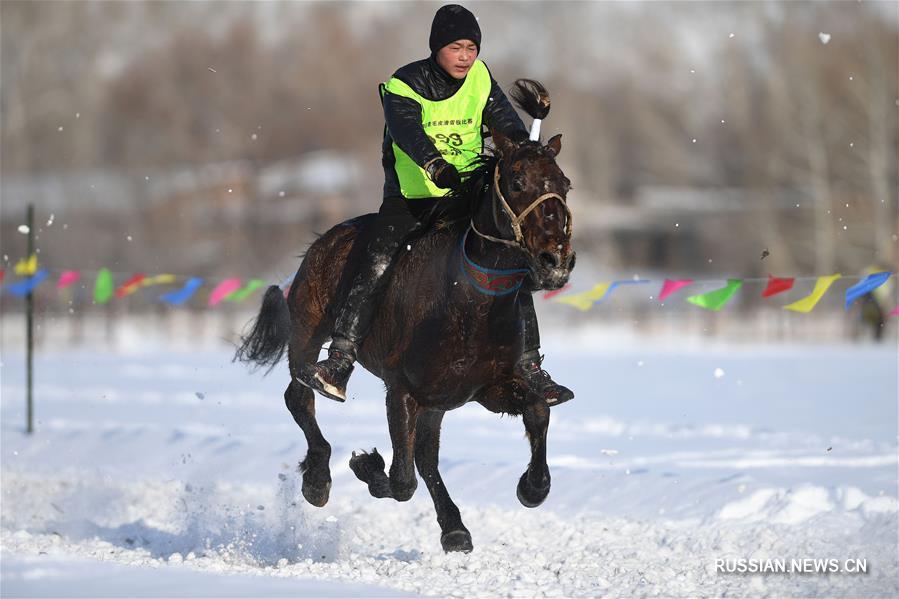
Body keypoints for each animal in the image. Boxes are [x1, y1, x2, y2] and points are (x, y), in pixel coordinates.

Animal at [237, 79, 576, 552]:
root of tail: (323, 241)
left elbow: (537, 409)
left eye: (564, 184)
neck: (468, 305)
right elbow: (401, 480)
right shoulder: (401, 390)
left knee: (425, 455)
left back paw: (454, 528)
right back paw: (318, 477)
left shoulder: (485, 387)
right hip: (307, 330)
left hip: (438, 400)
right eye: (517, 180)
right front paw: (365, 465)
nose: (555, 261)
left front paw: (532, 487)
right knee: (300, 395)